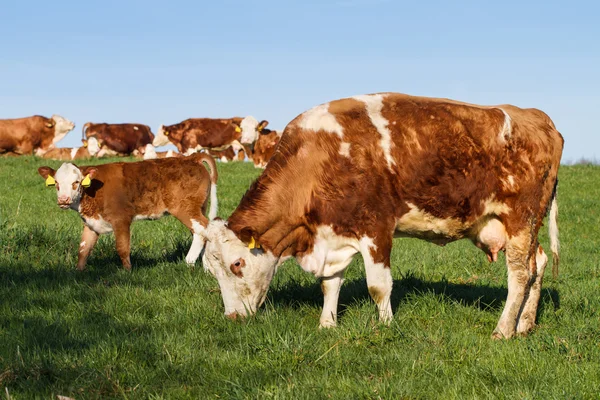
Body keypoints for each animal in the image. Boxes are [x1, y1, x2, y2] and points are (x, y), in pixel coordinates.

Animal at [38, 153, 219, 272]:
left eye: (76, 182)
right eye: (56, 183)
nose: (63, 200)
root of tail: (191, 157)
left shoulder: (121, 219)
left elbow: (122, 247)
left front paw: (127, 272)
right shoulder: (91, 223)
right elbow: (83, 249)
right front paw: (78, 272)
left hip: (185, 209)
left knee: (202, 232)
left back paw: (188, 263)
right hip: (197, 209)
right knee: (202, 233)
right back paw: (206, 267)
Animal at [200, 92, 564, 340]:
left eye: (237, 264)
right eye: (210, 269)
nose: (232, 318)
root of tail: (536, 116)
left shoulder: (375, 228)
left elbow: (378, 286)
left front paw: (386, 326)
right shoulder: (334, 231)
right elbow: (330, 284)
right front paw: (327, 324)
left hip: (521, 217)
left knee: (519, 274)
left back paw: (503, 330)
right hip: (516, 224)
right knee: (538, 263)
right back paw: (525, 325)